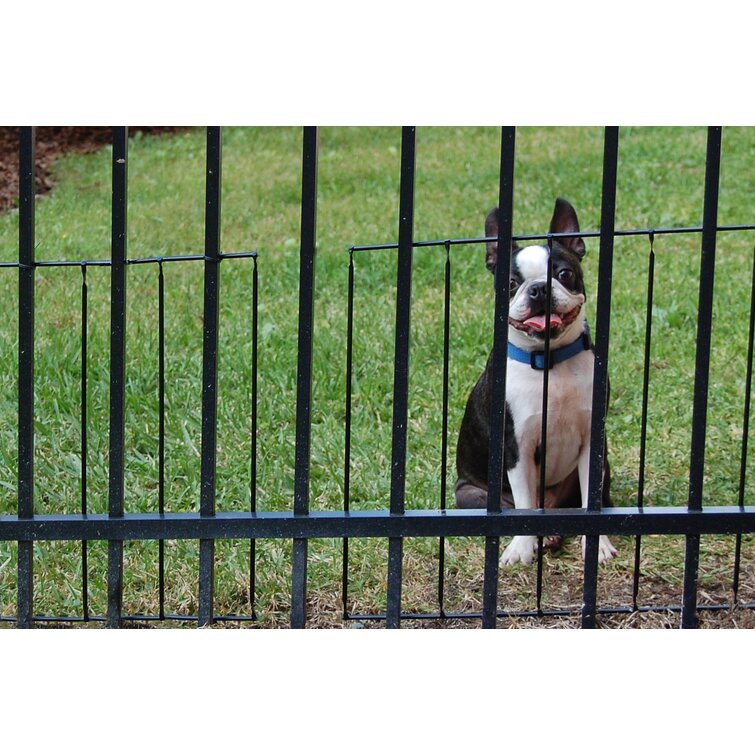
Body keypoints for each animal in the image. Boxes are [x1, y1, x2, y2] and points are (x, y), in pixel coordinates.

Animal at [454, 198, 620, 564]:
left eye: (564, 274)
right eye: (511, 284)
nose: (539, 288)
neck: (550, 363)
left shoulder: (593, 440)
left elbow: (590, 500)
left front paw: (597, 543)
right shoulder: (517, 445)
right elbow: (525, 502)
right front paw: (520, 547)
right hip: (469, 494)